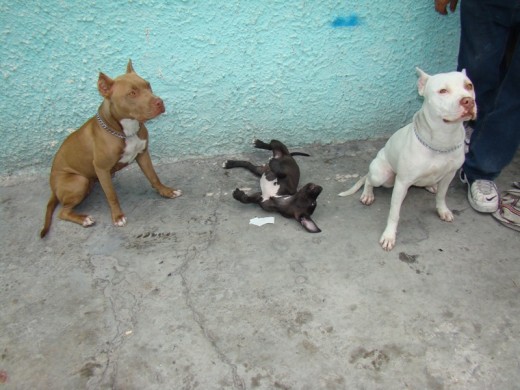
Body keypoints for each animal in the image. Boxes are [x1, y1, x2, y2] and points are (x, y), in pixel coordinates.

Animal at [40, 60, 181, 238]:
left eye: (148, 85)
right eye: (132, 93)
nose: (160, 102)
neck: (125, 131)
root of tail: (53, 186)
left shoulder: (143, 154)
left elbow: (153, 177)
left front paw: (166, 191)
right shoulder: (101, 168)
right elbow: (111, 195)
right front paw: (118, 216)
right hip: (79, 181)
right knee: (62, 212)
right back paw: (84, 219)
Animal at [340, 68, 478, 251]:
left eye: (469, 86)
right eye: (443, 91)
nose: (468, 101)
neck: (441, 141)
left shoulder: (449, 175)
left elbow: (442, 195)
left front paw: (443, 210)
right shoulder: (402, 182)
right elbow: (394, 213)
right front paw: (389, 236)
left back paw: (430, 186)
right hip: (381, 175)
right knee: (369, 180)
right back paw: (367, 194)